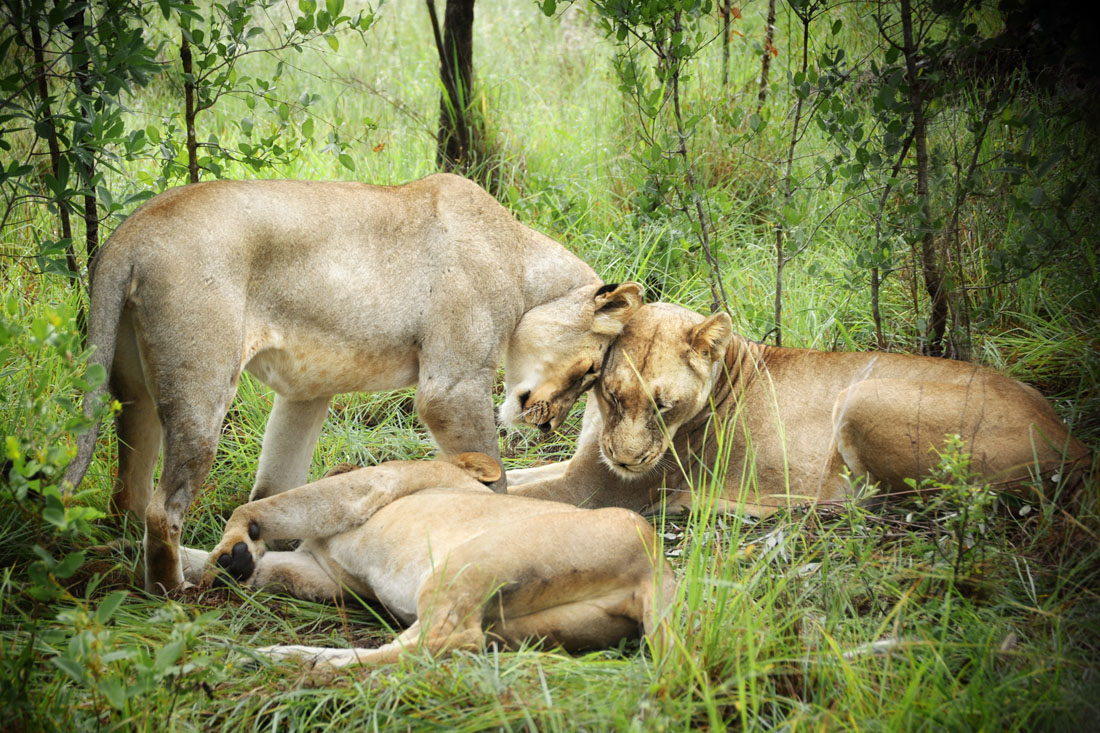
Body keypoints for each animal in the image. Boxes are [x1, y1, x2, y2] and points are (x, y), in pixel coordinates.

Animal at [62, 173, 643, 592]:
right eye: (591, 371)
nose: (549, 429)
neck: (521, 262)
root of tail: (129, 233)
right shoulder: (451, 388)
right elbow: (491, 474)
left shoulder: (305, 389)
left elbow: (276, 485)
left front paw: (264, 547)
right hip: (202, 389)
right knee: (163, 508)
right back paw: (172, 591)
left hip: (133, 390)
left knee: (130, 491)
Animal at [194, 453, 675, 667]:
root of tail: (656, 564)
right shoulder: (327, 575)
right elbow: (272, 566)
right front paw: (227, 565)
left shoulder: (371, 485)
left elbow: (271, 506)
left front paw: (232, 550)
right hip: (528, 629)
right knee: (444, 644)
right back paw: (290, 656)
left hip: (469, 558)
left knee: (445, 640)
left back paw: (295, 660)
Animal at [508, 302, 1092, 516]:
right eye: (612, 395)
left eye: (665, 405)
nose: (628, 460)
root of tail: (1075, 440)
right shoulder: (585, 463)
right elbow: (513, 478)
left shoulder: (596, 491)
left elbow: (520, 494)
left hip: (862, 396)